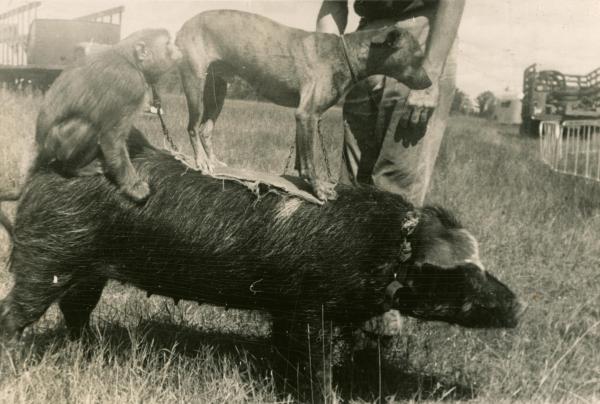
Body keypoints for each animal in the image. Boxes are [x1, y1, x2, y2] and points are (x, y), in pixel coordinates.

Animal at [34, 28, 180, 202]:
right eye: (168, 43)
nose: (178, 49)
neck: (131, 61)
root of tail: (40, 146)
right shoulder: (129, 83)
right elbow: (111, 136)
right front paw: (133, 186)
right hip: (55, 144)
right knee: (88, 126)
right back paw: (73, 168)